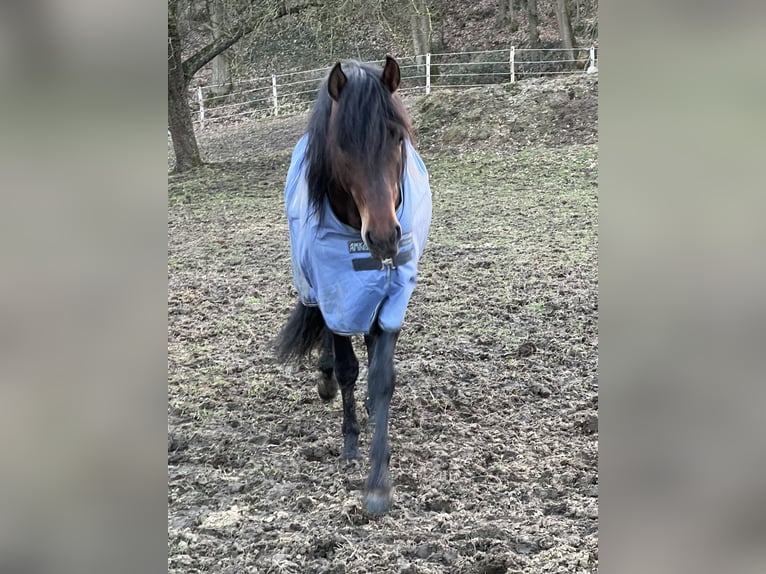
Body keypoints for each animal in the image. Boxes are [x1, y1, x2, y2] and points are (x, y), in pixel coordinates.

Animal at [276, 56, 432, 515]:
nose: (383, 236)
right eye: (342, 144)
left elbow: (382, 377)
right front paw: (350, 443)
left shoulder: (393, 296)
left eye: (396, 137)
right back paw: (326, 380)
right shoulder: (335, 291)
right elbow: (348, 366)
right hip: (316, 285)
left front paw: (379, 480)